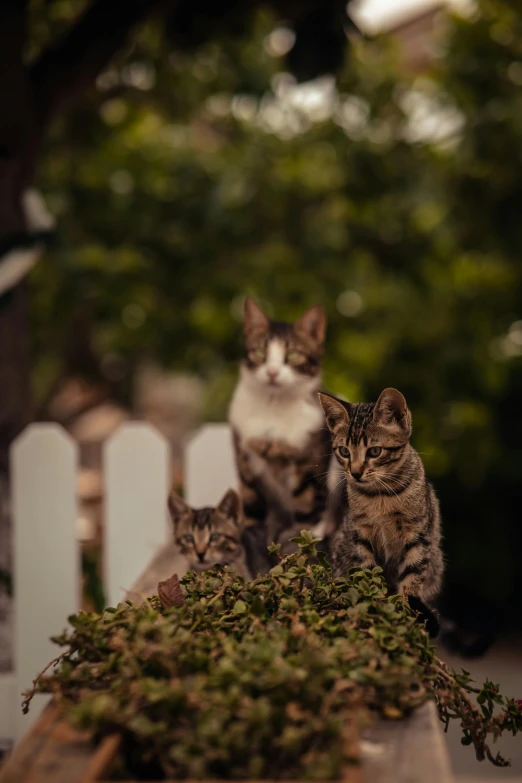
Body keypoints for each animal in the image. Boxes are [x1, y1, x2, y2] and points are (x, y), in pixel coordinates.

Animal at [228, 298, 342, 568]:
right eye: (259, 353)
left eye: (293, 355)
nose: (272, 372)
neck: (273, 408)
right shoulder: (246, 461)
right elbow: (252, 511)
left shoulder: (309, 464)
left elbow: (307, 515)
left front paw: (303, 552)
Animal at [316, 388, 442, 636]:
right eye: (344, 451)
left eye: (374, 451)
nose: (355, 473)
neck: (381, 496)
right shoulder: (361, 533)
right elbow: (368, 572)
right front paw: (373, 604)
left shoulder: (418, 533)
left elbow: (412, 576)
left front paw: (404, 610)